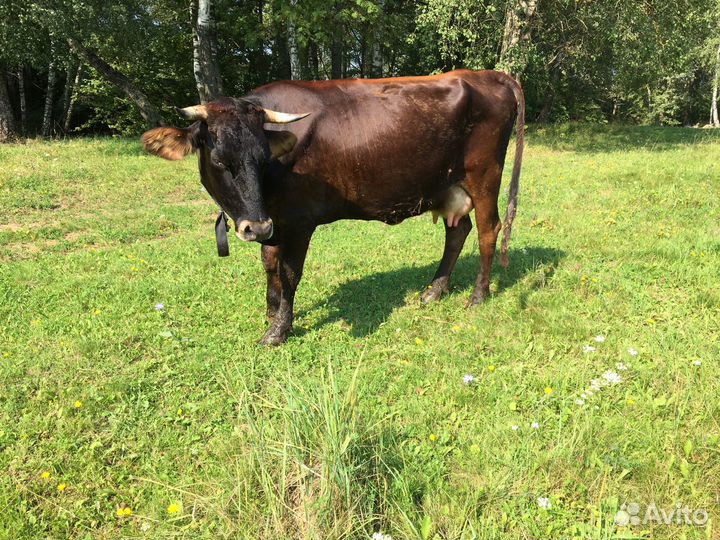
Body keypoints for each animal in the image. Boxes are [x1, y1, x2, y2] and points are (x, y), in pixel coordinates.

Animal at [142, 69, 525, 345]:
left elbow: (289, 272)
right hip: (447, 186)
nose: (255, 228)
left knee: (488, 230)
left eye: (263, 158)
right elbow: (269, 264)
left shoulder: (298, 222)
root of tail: (488, 74)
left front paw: (278, 331)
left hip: (485, 175)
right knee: (458, 230)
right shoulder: (273, 219)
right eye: (220, 160)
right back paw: (434, 290)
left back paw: (478, 295)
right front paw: (272, 312)